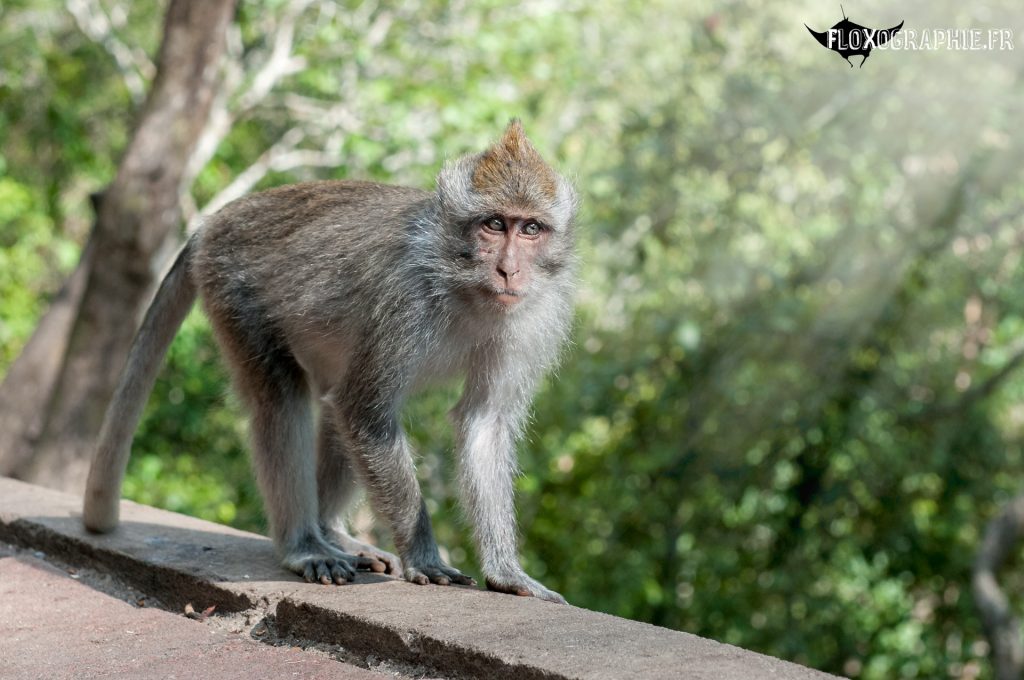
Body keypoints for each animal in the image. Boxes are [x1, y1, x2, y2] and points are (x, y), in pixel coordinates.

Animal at [82, 120, 578, 604]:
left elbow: (483, 422)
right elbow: (365, 414)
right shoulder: (405, 298)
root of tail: (214, 222)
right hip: (233, 288)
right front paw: (425, 556)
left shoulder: (530, 319)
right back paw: (305, 545)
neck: (465, 288)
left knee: (334, 399)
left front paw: (505, 570)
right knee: (283, 399)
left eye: (531, 229)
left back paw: (332, 533)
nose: (509, 270)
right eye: (494, 224)